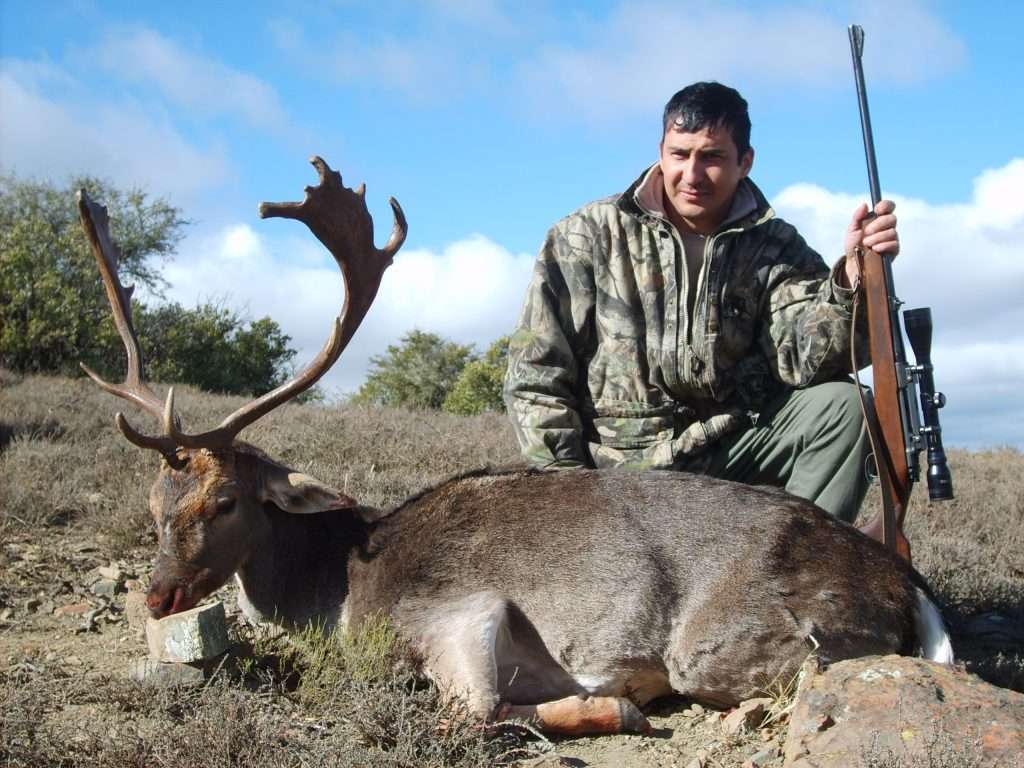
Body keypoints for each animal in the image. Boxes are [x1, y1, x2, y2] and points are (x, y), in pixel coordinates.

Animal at [78, 157, 953, 737]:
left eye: (225, 500)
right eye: (152, 503)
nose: (157, 595)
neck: (335, 591)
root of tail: (906, 583)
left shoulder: (461, 610)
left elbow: (480, 709)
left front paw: (617, 699)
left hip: (732, 640)